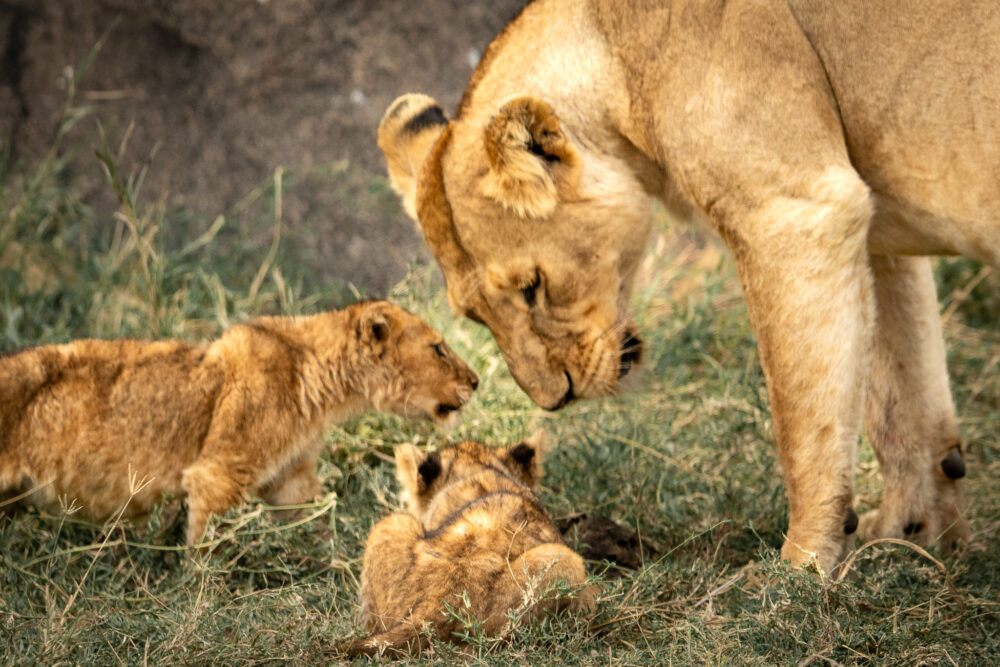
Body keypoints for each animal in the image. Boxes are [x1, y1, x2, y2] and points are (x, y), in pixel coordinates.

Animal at [376, 0, 1000, 576]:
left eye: (532, 287)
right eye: (475, 316)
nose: (556, 400)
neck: (615, 53)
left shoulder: (796, 214)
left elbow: (801, 421)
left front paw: (797, 570)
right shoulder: (873, 231)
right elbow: (901, 400)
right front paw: (913, 538)